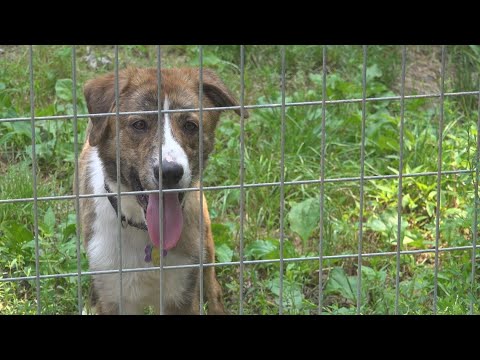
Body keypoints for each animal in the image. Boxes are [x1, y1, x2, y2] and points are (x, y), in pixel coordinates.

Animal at [77, 66, 248, 314]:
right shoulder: (113, 293)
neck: (144, 231)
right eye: (139, 124)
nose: (170, 172)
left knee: (212, 286)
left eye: (190, 126)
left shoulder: (182, 292)